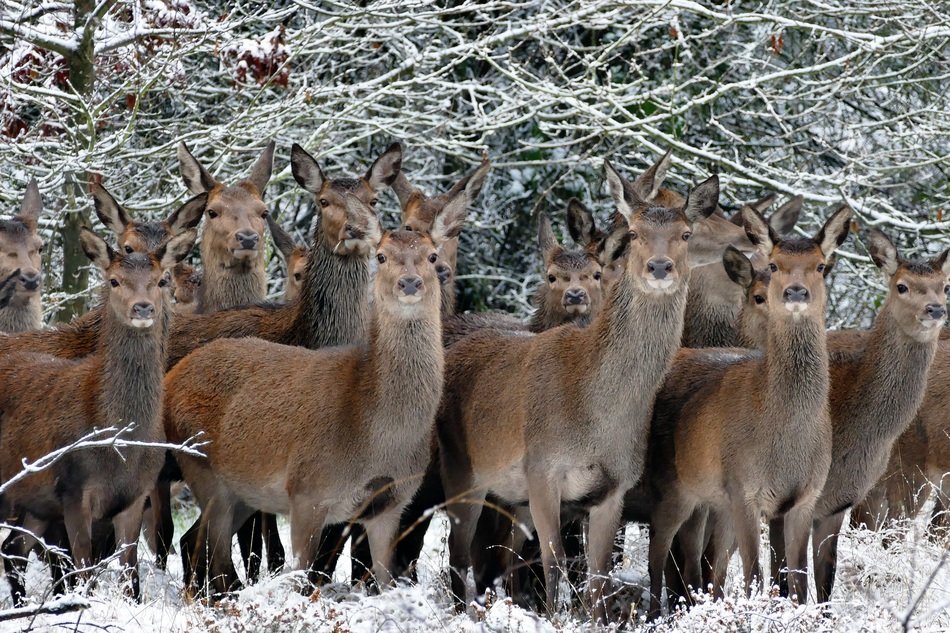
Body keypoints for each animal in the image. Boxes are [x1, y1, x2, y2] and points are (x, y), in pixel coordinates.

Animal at [0, 225, 198, 604]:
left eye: (160, 279)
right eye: (114, 280)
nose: (143, 307)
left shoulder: (136, 495)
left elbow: (130, 574)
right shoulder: (74, 489)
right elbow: (84, 570)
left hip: (33, 502)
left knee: (13, 550)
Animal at [163, 194, 466, 597]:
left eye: (432, 255)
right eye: (381, 255)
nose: (410, 282)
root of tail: (171, 381)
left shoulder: (392, 504)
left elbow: (384, 580)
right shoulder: (306, 491)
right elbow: (303, 581)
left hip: (241, 490)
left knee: (197, 544)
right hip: (201, 466)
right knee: (217, 558)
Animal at [437, 158, 721, 623]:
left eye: (685, 234)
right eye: (635, 234)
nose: (660, 267)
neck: (593, 412)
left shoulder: (613, 488)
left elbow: (598, 574)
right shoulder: (542, 470)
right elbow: (554, 563)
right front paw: (555, 617)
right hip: (462, 468)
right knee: (458, 551)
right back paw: (466, 612)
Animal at [640, 204, 851, 619]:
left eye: (820, 265)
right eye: (773, 264)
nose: (795, 291)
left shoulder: (804, 498)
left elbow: (796, 581)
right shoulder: (744, 489)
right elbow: (756, 574)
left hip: (710, 502)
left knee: (702, 559)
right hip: (674, 487)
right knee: (660, 552)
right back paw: (656, 613)